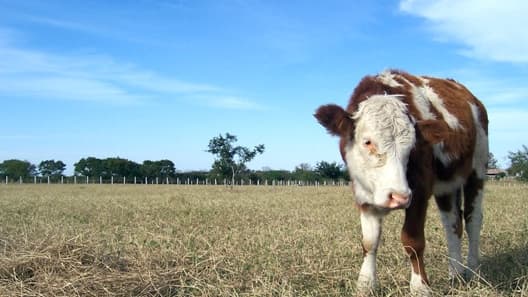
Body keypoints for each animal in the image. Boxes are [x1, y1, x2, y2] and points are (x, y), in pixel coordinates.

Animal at [314, 69, 486, 294]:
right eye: (367, 142)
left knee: (473, 221)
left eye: (412, 146)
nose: (398, 197)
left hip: (478, 170)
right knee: (452, 224)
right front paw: (365, 285)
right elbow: (369, 242)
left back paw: (473, 271)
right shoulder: (363, 195)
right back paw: (455, 274)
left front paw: (420, 287)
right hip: (447, 186)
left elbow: (413, 241)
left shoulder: (419, 193)